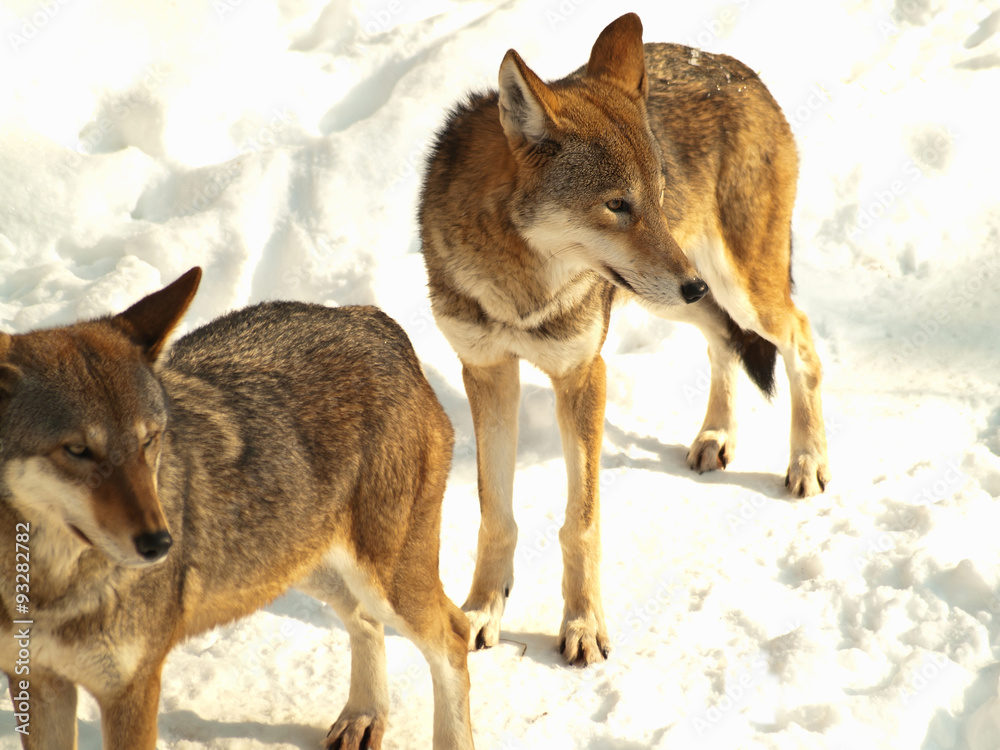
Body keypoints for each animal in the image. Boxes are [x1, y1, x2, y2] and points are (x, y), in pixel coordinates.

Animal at [0, 268, 474, 749]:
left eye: (150, 439)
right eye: (77, 450)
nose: (162, 544)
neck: (50, 588)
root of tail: (372, 320)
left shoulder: (132, 689)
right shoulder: (37, 683)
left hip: (381, 580)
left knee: (454, 634)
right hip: (294, 566)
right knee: (363, 619)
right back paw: (363, 717)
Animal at [419, 13, 829, 666]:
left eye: (655, 197)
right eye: (617, 205)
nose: (690, 282)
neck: (522, 289)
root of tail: (736, 69)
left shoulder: (584, 374)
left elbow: (580, 522)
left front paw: (583, 627)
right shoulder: (487, 373)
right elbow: (496, 514)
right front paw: (482, 612)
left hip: (736, 289)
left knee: (801, 339)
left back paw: (808, 460)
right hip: (677, 300)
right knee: (722, 339)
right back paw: (716, 437)